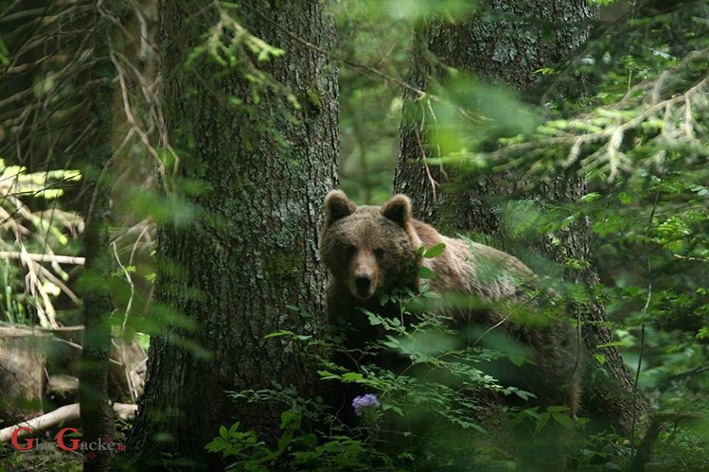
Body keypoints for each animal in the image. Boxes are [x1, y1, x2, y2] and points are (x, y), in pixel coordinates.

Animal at [320, 190, 580, 414]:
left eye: (379, 250)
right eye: (350, 247)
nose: (363, 280)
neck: (380, 300)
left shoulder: (429, 307)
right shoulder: (346, 309)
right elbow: (349, 361)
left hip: (534, 340)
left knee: (550, 396)